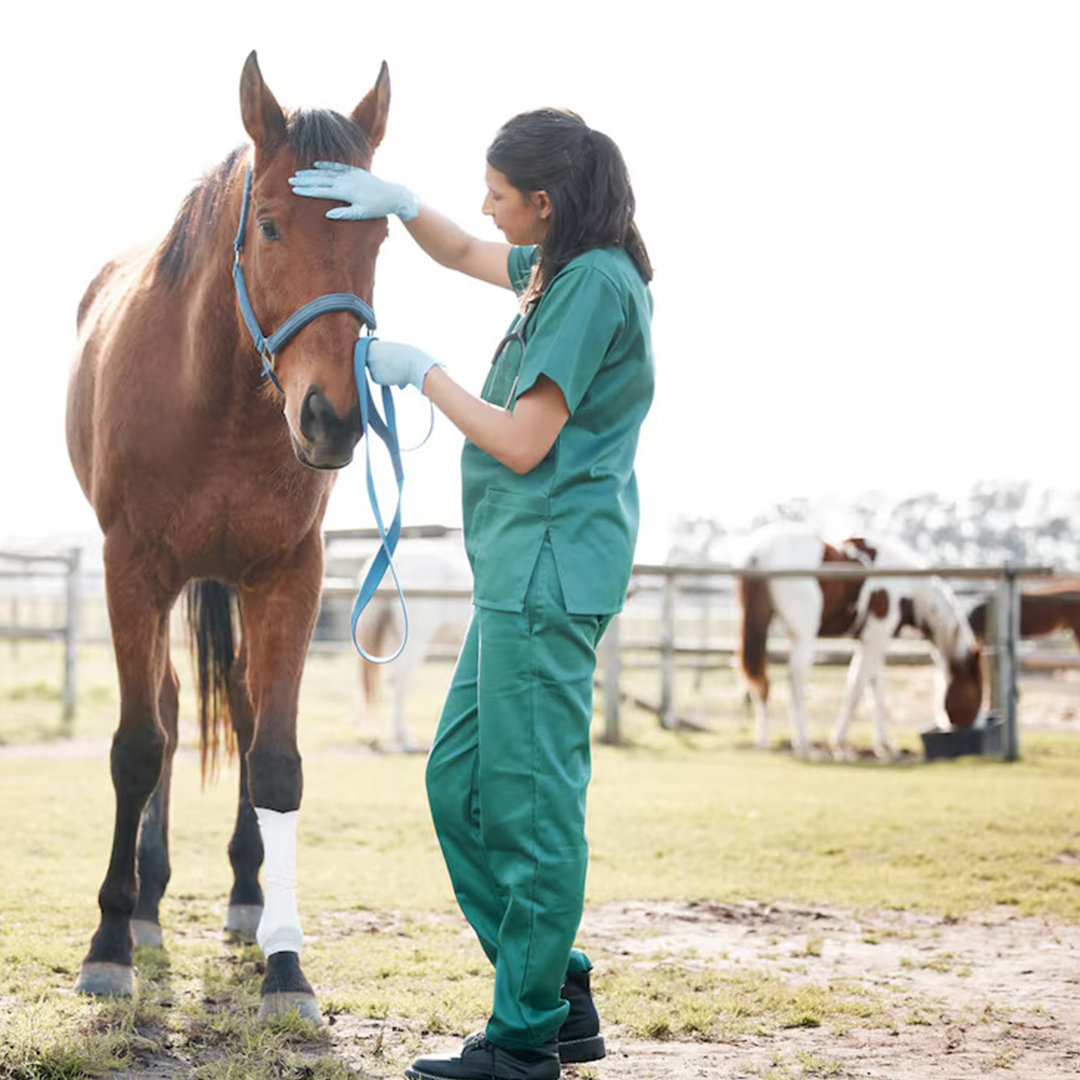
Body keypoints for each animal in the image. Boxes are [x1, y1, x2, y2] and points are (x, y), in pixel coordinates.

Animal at [64, 52, 393, 1022]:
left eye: (381, 237)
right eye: (273, 224)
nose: (332, 418)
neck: (213, 397)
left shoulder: (289, 574)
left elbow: (274, 759)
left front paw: (287, 967)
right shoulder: (131, 569)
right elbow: (138, 747)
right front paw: (109, 942)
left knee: (240, 715)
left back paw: (247, 899)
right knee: (171, 716)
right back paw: (144, 906)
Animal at [738, 527, 983, 760]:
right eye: (977, 692)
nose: (975, 725)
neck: (906, 584)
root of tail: (759, 551)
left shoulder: (869, 640)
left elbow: (876, 690)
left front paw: (886, 747)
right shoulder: (876, 636)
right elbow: (857, 687)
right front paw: (839, 744)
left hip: (758, 624)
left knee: (759, 680)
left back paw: (763, 740)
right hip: (803, 634)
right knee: (795, 679)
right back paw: (805, 746)